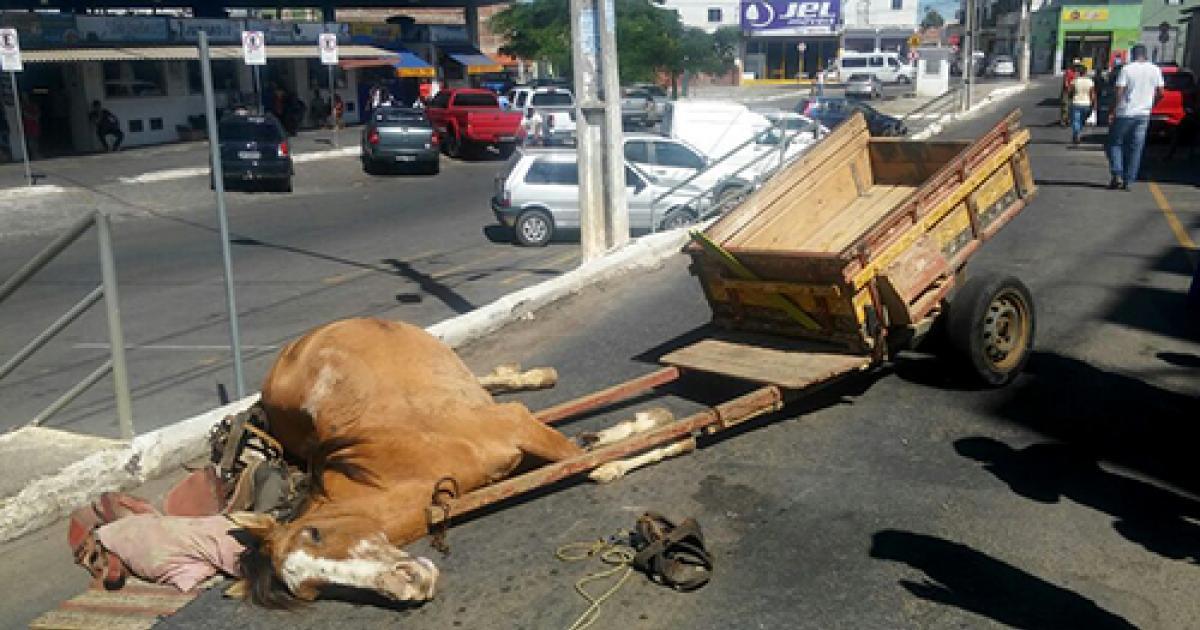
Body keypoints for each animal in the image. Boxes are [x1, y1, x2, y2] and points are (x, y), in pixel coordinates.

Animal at [231, 319, 583, 604]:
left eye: (314, 533)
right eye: (317, 590)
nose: (407, 584)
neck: (399, 464)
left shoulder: (514, 422)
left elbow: (578, 459)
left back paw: (533, 375)